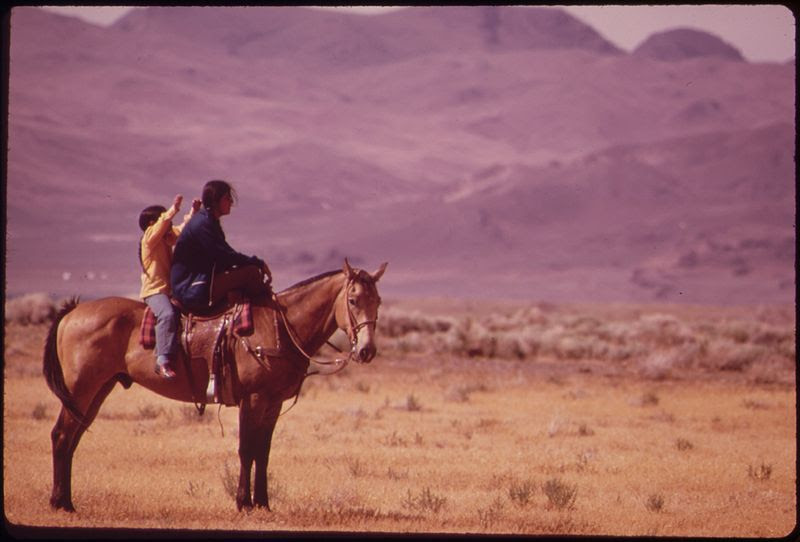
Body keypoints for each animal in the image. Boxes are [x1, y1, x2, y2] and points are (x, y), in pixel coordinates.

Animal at [43, 260, 388, 516]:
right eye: (353, 300)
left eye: (378, 301)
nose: (366, 351)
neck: (278, 327)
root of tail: (73, 311)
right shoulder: (253, 399)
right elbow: (247, 449)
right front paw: (243, 502)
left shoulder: (272, 402)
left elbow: (263, 451)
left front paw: (263, 503)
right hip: (82, 389)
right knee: (61, 435)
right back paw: (61, 504)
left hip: (98, 389)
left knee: (72, 438)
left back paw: (66, 500)